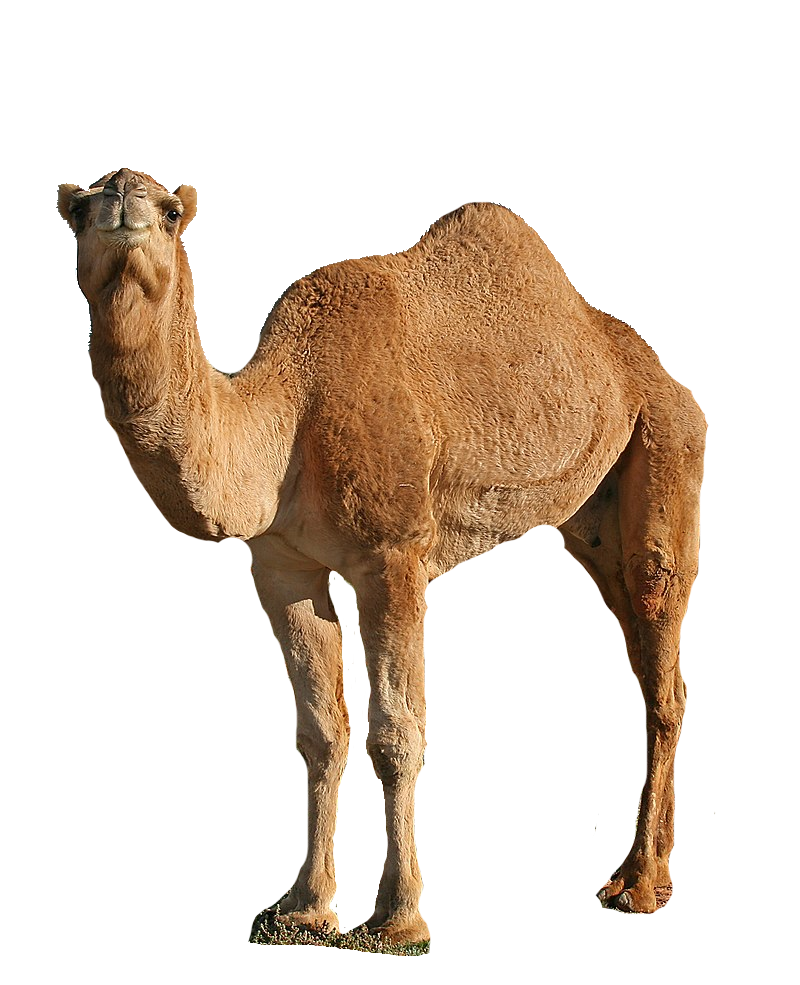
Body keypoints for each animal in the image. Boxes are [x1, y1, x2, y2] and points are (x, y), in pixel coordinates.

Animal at [58, 171, 706, 941]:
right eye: (79, 209)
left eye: (170, 211)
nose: (124, 196)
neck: (288, 414)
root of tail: (661, 373)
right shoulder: (282, 567)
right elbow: (322, 731)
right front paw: (305, 907)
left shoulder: (393, 556)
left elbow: (397, 734)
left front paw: (398, 918)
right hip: (592, 516)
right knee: (645, 657)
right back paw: (655, 872)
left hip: (667, 445)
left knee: (661, 654)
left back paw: (637, 884)